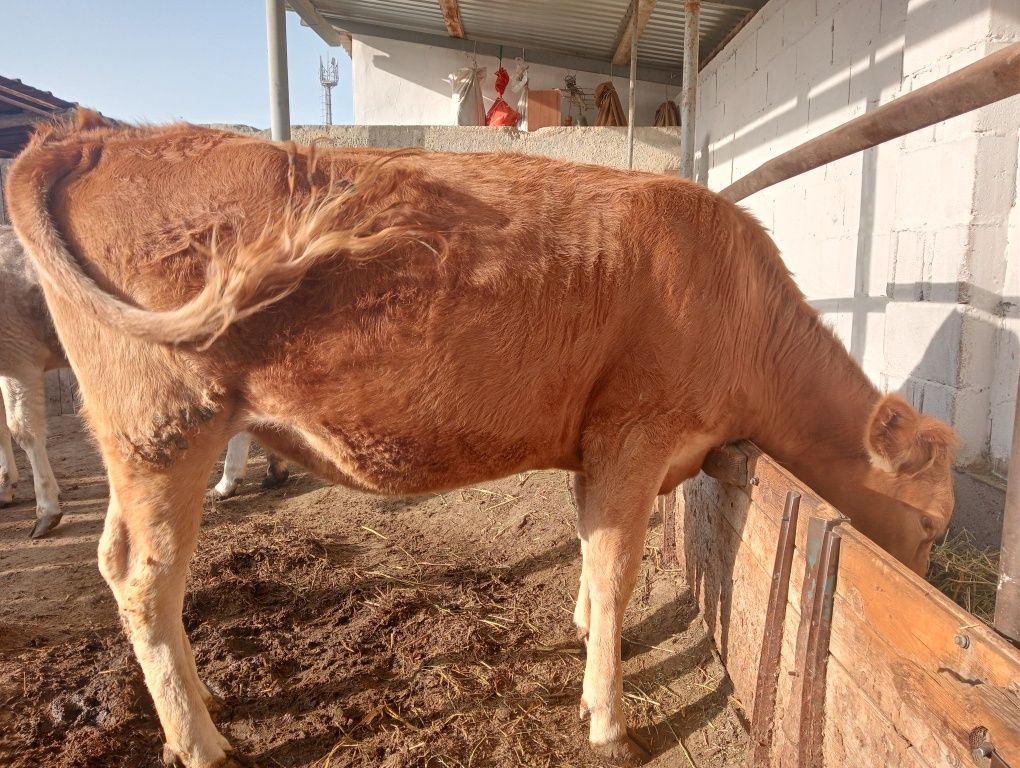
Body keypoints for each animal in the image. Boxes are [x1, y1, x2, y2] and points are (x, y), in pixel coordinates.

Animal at [0, 227, 283, 534]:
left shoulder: (18, 353)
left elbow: (22, 430)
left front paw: (46, 510)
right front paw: (5, 487)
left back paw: (231, 480)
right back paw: (270, 469)